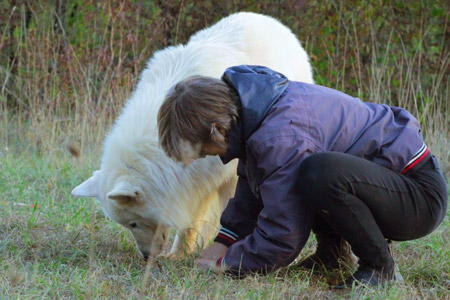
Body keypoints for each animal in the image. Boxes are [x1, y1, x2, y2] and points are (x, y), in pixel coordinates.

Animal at [72, 11, 314, 258]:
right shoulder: (191, 183)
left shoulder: (225, 176)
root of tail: (266, 19)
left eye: (133, 223)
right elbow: (190, 221)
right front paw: (179, 254)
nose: (146, 255)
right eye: (127, 225)